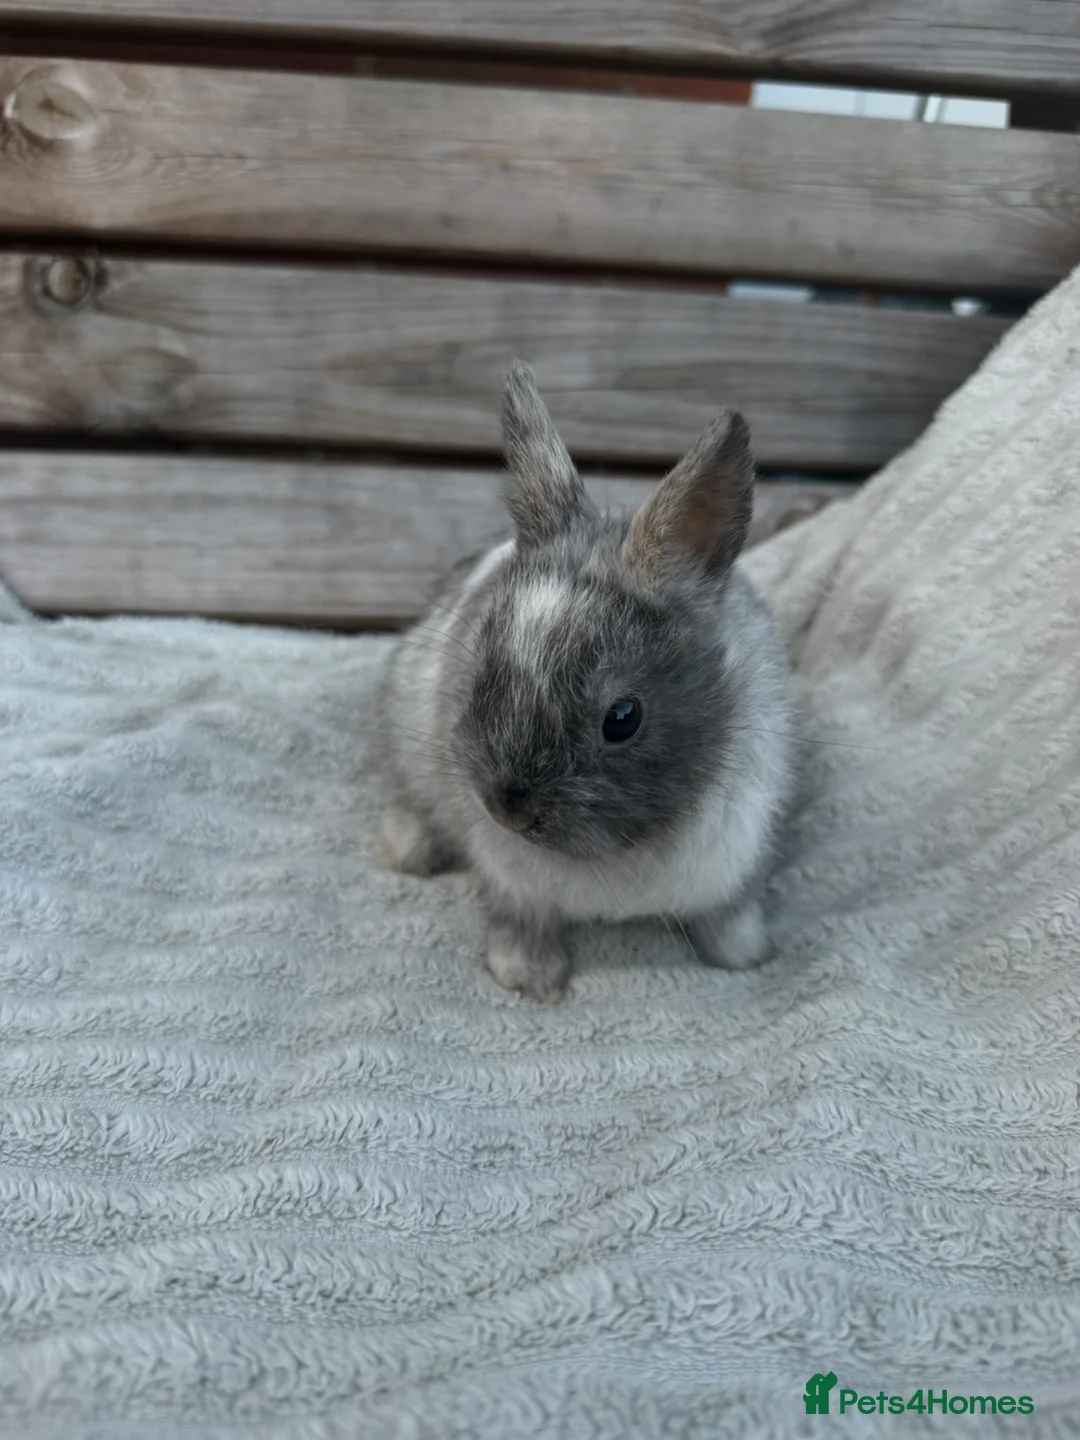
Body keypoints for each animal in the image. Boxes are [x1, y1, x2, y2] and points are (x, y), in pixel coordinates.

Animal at [375, 363, 796, 1002]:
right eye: (482, 673)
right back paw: (407, 850)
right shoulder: (513, 886)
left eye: (623, 718)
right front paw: (529, 978)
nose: (506, 811)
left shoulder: (735, 863)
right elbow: (520, 921)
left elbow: (730, 918)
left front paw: (748, 957)